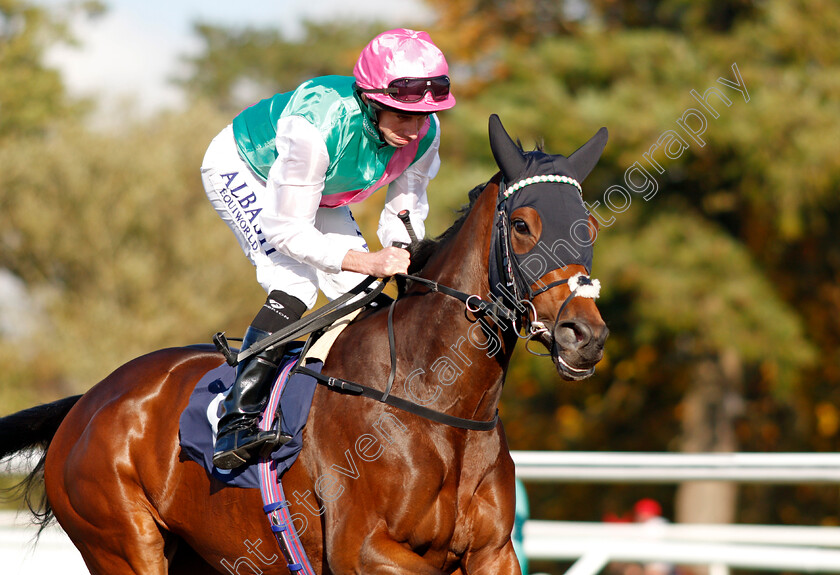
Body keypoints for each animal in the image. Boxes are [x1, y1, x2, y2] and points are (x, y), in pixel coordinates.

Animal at [0, 115, 608, 572]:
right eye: (524, 225)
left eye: (590, 227)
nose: (585, 335)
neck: (435, 400)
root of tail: (87, 401)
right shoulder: (363, 550)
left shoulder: (493, 553)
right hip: (123, 545)